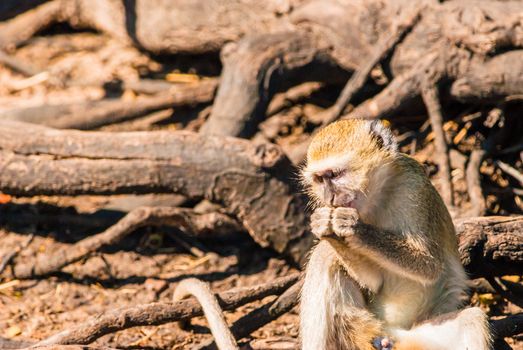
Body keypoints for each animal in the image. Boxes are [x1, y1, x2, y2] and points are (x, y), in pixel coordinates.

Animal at [298, 119, 492, 350]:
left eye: (335, 174)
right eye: (319, 179)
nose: (329, 197)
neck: (378, 196)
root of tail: (394, 330)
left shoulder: (413, 188)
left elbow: (430, 266)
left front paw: (352, 227)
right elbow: (373, 281)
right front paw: (326, 229)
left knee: (472, 319)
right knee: (324, 256)